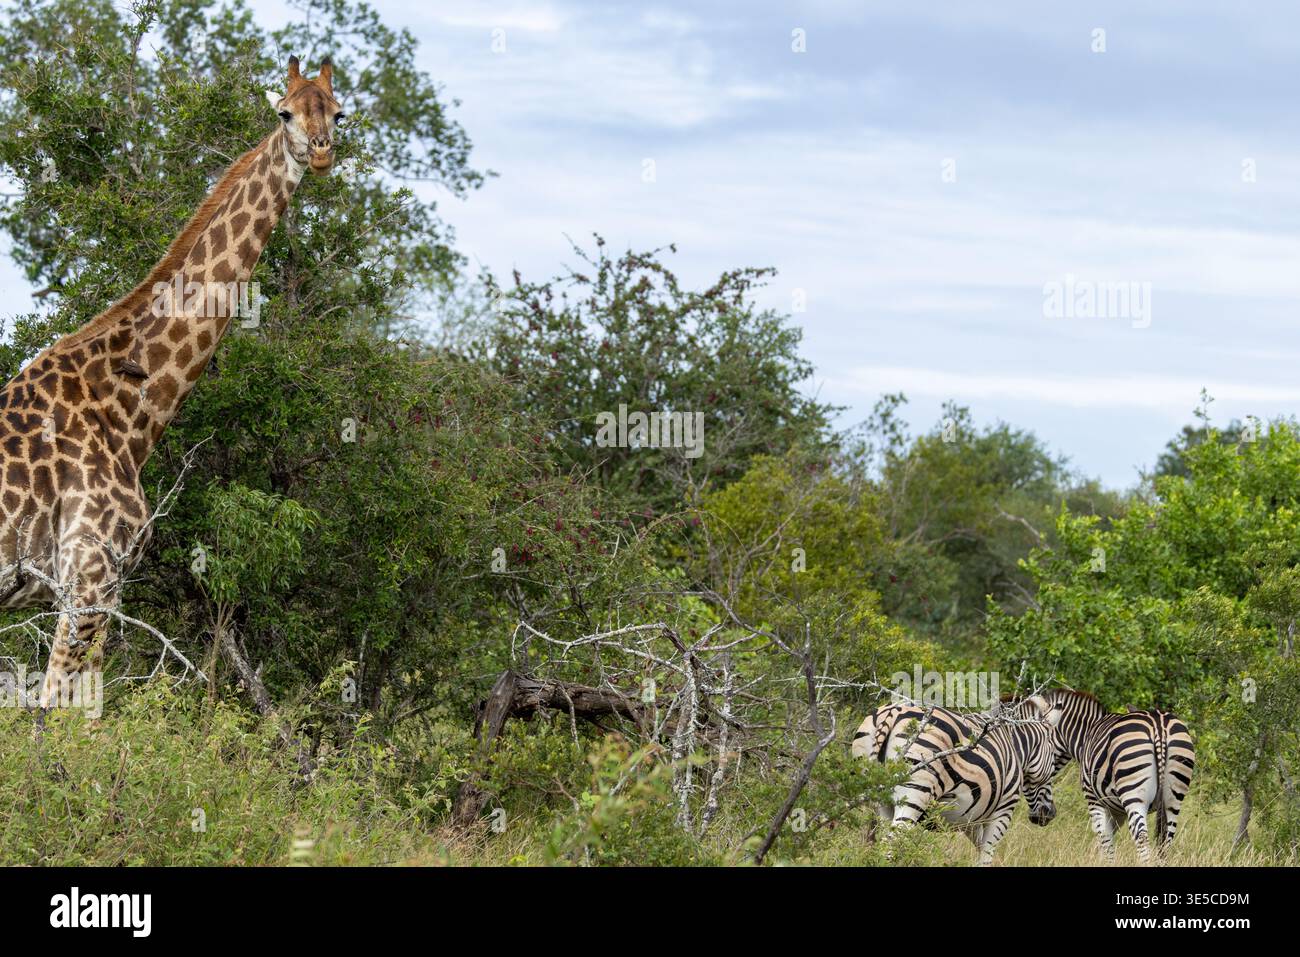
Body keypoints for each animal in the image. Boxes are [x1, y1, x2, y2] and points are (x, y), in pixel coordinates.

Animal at [0, 56, 342, 711]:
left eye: (340, 114)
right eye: (284, 112)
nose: (319, 152)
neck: (130, 410)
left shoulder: (101, 591)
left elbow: (90, 719)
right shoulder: (85, 579)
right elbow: (50, 716)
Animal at [852, 696, 1059, 865]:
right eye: (1054, 762)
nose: (1050, 814)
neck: (1015, 748)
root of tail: (894, 711)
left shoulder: (971, 818)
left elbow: (980, 851)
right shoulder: (1002, 812)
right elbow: (986, 856)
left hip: (880, 801)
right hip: (915, 792)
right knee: (891, 845)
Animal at [1043, 689, 1195, 863]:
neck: (1087, 733)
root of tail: (1159, 726)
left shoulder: (1093, 797)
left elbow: (1104, 837)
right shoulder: (1117, 810)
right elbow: (1106, 841)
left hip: (1134, 795)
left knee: (1141, 838)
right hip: (1174, 796)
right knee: (1165, 841)